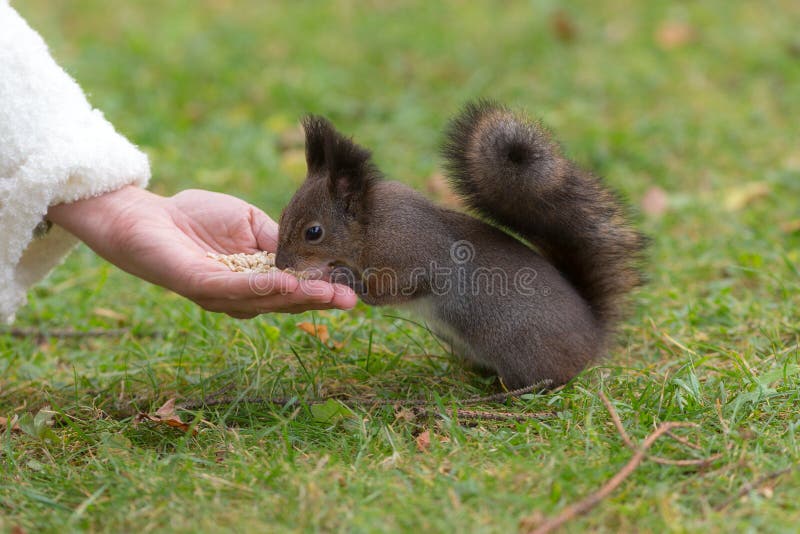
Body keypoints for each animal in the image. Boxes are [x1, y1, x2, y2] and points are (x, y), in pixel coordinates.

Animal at [275, 101, 645, 389]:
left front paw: (347, 278)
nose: (280, 264)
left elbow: (390, 291)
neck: (368, 228)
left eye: (314, 232)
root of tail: (593, 338)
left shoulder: (413, 255)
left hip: (520, 347)